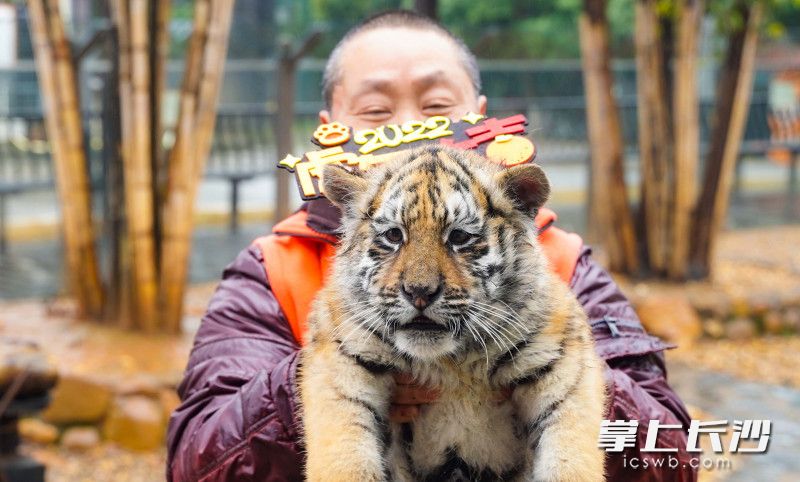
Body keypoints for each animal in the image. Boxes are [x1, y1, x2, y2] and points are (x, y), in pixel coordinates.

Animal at [299, 145, 606, 482]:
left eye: (459, 237)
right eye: (394, 235)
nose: (419, 292)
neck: (450, 363)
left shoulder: (564, 371)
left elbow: (571, 456)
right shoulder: (341, 366)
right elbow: (345, 456)